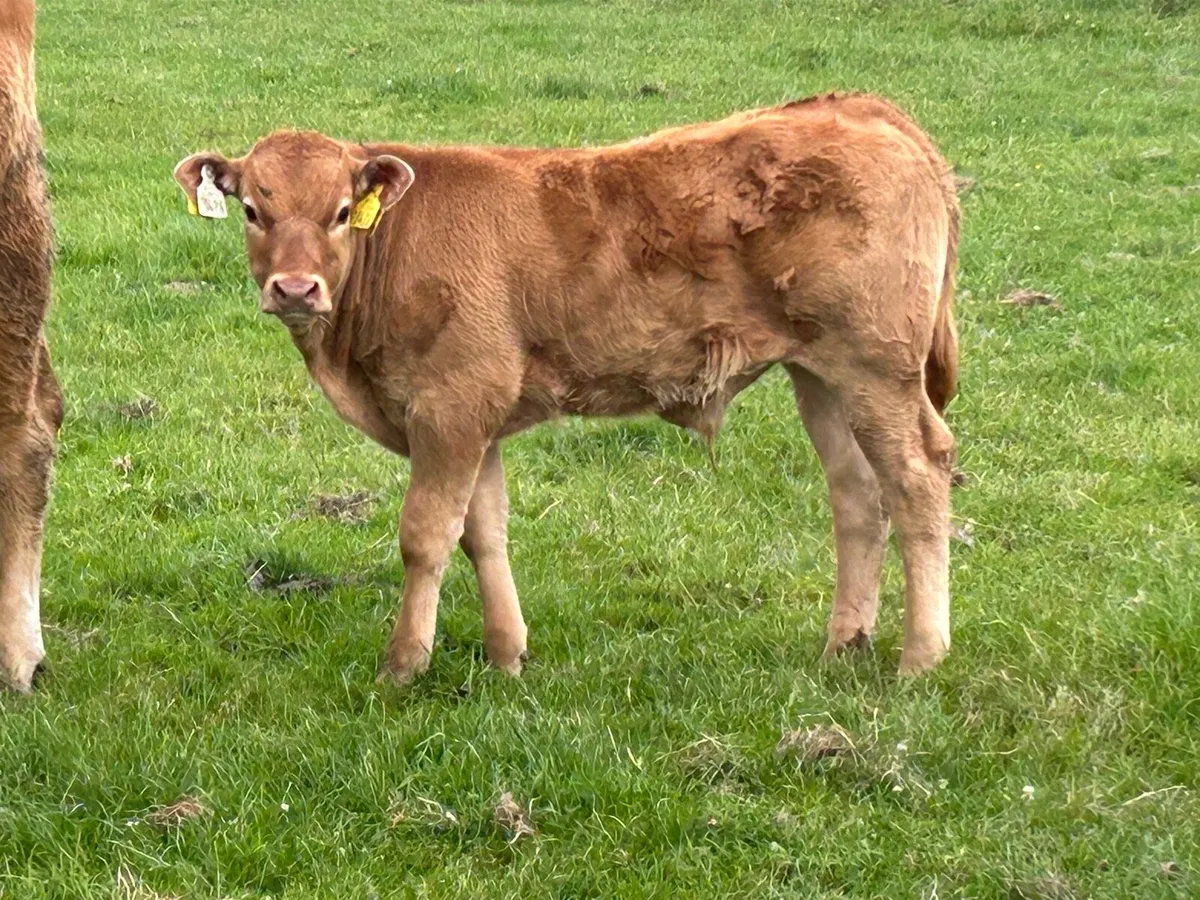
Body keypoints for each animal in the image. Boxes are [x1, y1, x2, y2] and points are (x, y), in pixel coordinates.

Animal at [174, 91, 960, 683]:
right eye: (253, 211)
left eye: (341, 212)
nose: (295, 288)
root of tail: (862, 108)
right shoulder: (477, 415)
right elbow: (482, 532)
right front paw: (506, 657)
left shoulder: (450, 405)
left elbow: (425, 536)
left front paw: (402, 665)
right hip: (821, 374)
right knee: (858, 496)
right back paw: (843, 646)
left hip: (877, 368)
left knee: (917, 480)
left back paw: (920, 658)